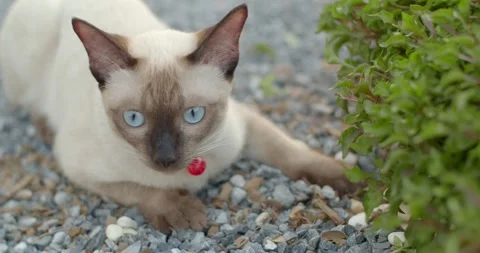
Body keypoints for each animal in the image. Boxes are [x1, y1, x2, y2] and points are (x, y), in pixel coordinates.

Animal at [0, 0, 360, 232]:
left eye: (193, 115)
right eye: (134, 119)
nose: (165, 158)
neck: (191, 174)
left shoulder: (243, 123)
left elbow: (289, 150)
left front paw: (345, 177)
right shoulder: (78, 167)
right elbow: (140, 190)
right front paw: (182, 211)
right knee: (31, 105)